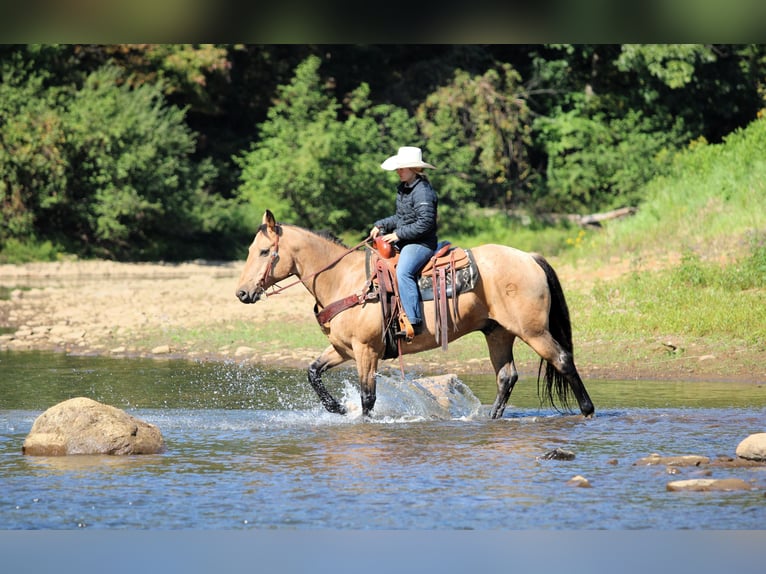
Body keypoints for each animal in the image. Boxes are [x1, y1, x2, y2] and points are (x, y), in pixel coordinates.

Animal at [236, 209, 595, 419]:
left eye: (265, 252)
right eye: (251, 250)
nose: (241, 293)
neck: (344, 281)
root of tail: (530, 257)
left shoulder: (367, 351)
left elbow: (368, 396)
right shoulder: (342, 349)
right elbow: (313, 372)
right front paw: (336, 408)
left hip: (533, 331)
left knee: (562, 360)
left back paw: (588, 410)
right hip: (498, 332)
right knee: (507, 376)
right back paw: (491, 418)